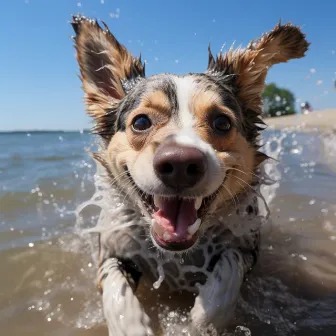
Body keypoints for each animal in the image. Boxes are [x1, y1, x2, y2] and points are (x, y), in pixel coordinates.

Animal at [71, 16, 310, 336]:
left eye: (222, 122)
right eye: (141, 122)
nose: (180, 164)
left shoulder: (246, 246)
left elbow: (228, 271)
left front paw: (202, 321)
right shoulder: (112, 250)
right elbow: (116, 292)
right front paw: (132, 327)